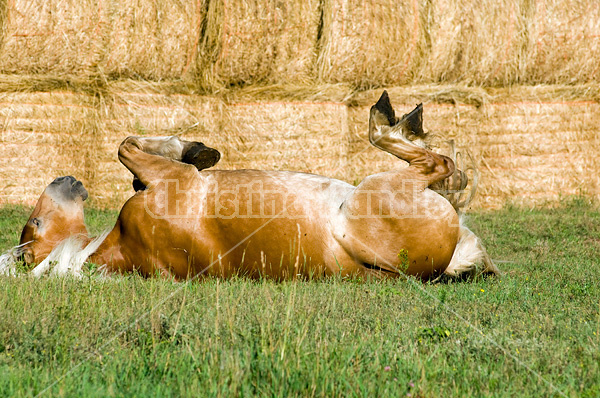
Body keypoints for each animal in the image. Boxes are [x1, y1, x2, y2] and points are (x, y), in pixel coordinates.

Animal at [0, 93, 496, 280]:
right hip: (379, 190)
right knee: (436, 163)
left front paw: (194, 148)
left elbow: (133, 158)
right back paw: (391, 122)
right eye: (34, 224)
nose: (65, 179)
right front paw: (189, 148)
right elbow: (126, 145)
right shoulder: (172, 182)